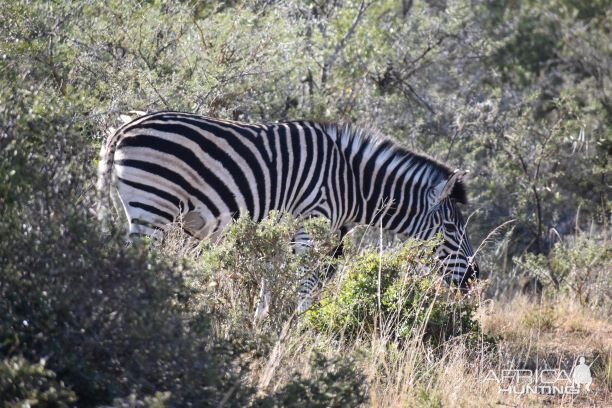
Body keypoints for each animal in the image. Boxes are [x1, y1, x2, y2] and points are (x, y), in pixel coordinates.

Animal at [98, 110, 480, 314]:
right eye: (450, 228)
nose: (475, 279)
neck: (350, 180)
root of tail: (123, 128)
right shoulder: (312, 223)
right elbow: (305, 284)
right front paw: (299, 326)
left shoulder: (286, 228)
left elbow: (270, 277)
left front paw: (261, 321)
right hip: (154, 206)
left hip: (141, 208)